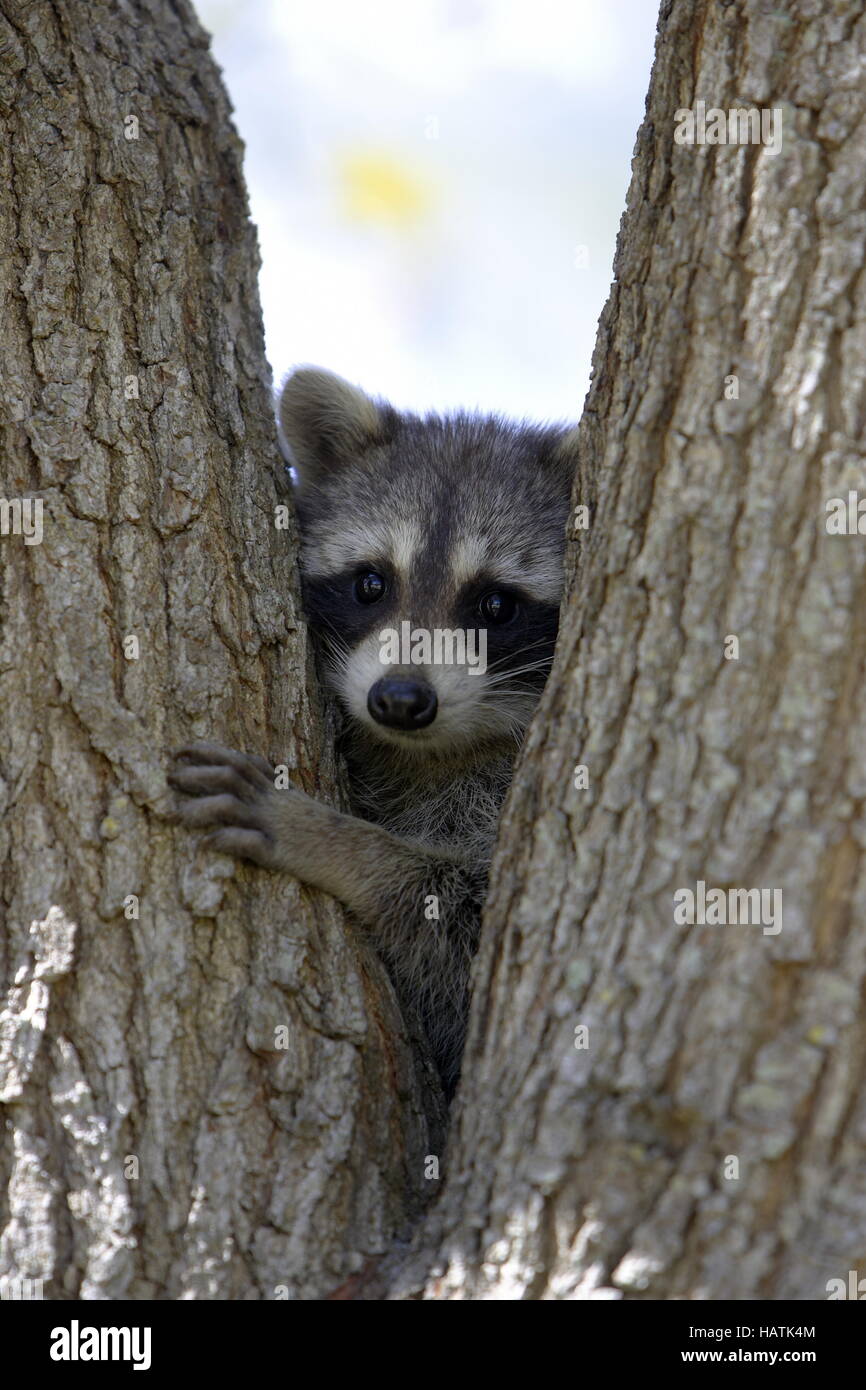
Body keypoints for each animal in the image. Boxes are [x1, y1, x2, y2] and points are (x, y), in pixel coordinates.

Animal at [169, 369, 575, 1095]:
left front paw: (336, 843)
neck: (434, 750)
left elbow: (460, 919)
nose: (401, 700)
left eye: (497, 604)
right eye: (370, 584)